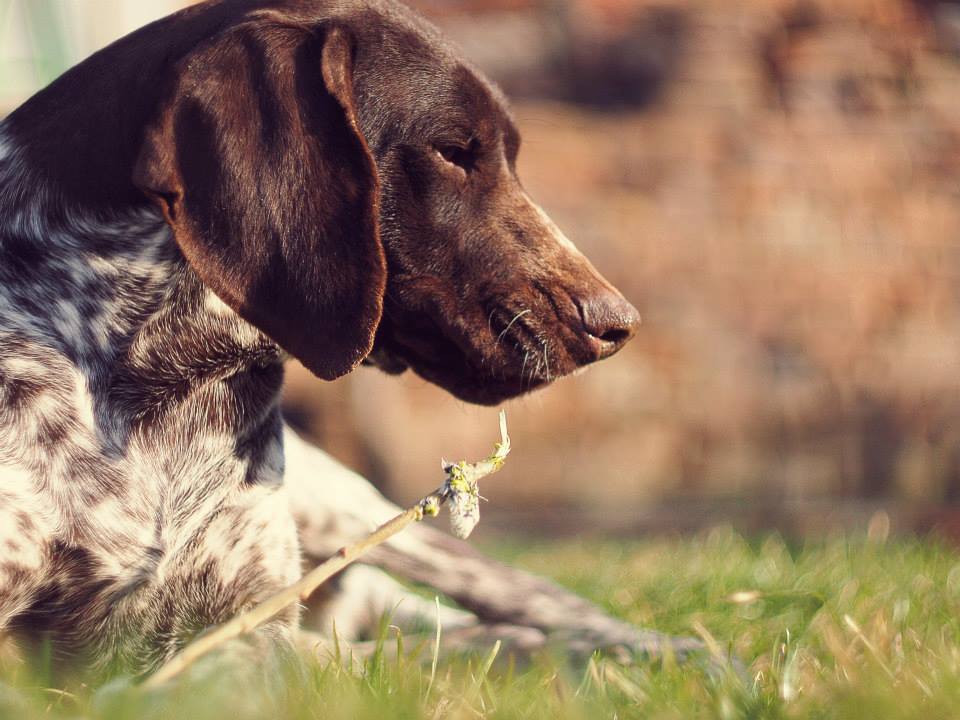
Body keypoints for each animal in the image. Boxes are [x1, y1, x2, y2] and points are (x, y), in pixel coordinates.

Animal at [0, 0, 694, 679]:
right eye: (451, 152)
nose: (617, 325)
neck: (160, 392)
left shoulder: (247, 620)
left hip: (356, 510)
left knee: (516, 600)